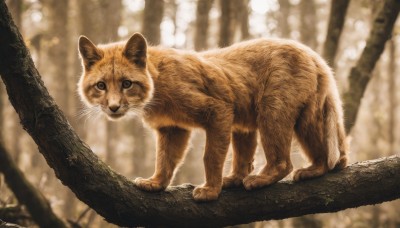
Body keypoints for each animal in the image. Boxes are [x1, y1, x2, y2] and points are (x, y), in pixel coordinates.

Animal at [77, 32, 346, 201]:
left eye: (126, 83)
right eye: (101, 86)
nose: (113, 107)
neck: (156, 84)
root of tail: (310, 52)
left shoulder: (217, 111)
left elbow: (211, 156)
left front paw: (209, 191)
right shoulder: (172, 128)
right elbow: (165, 158)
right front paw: (156, 183)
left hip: (273, 110)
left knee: (283, 161)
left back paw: (258, 179)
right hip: (289, 116)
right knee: (330, 152)